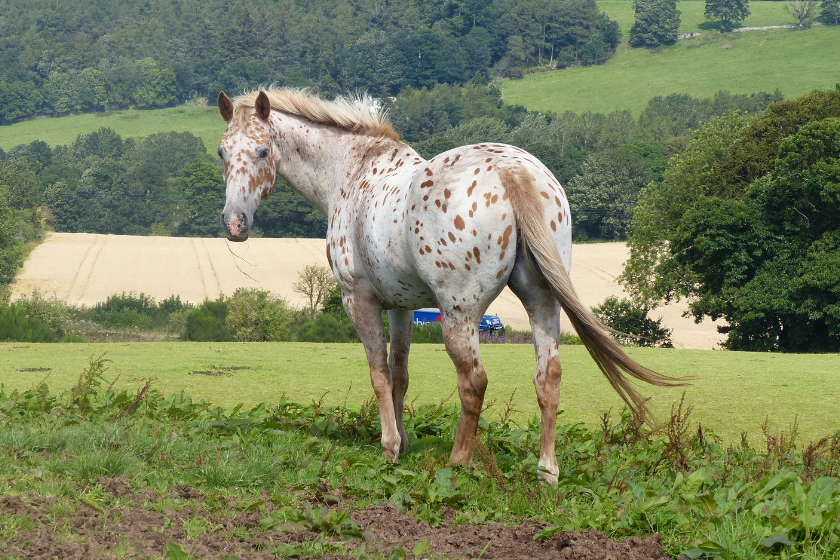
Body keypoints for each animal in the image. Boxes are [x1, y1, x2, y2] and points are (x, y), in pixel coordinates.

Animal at [217, 88, 684, 486]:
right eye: (222, 151)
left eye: (262, 150)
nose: (234, 224)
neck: (351, 173)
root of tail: (512, 170)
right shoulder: (401, 306)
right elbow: (401, 374)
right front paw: (403, 442)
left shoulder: (360, 300)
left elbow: (380, 374)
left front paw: (389, 448)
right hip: (541, 301)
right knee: (547, 377)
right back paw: (546, 471)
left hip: (460, 314)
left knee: (473, 381)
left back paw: (459, 461)